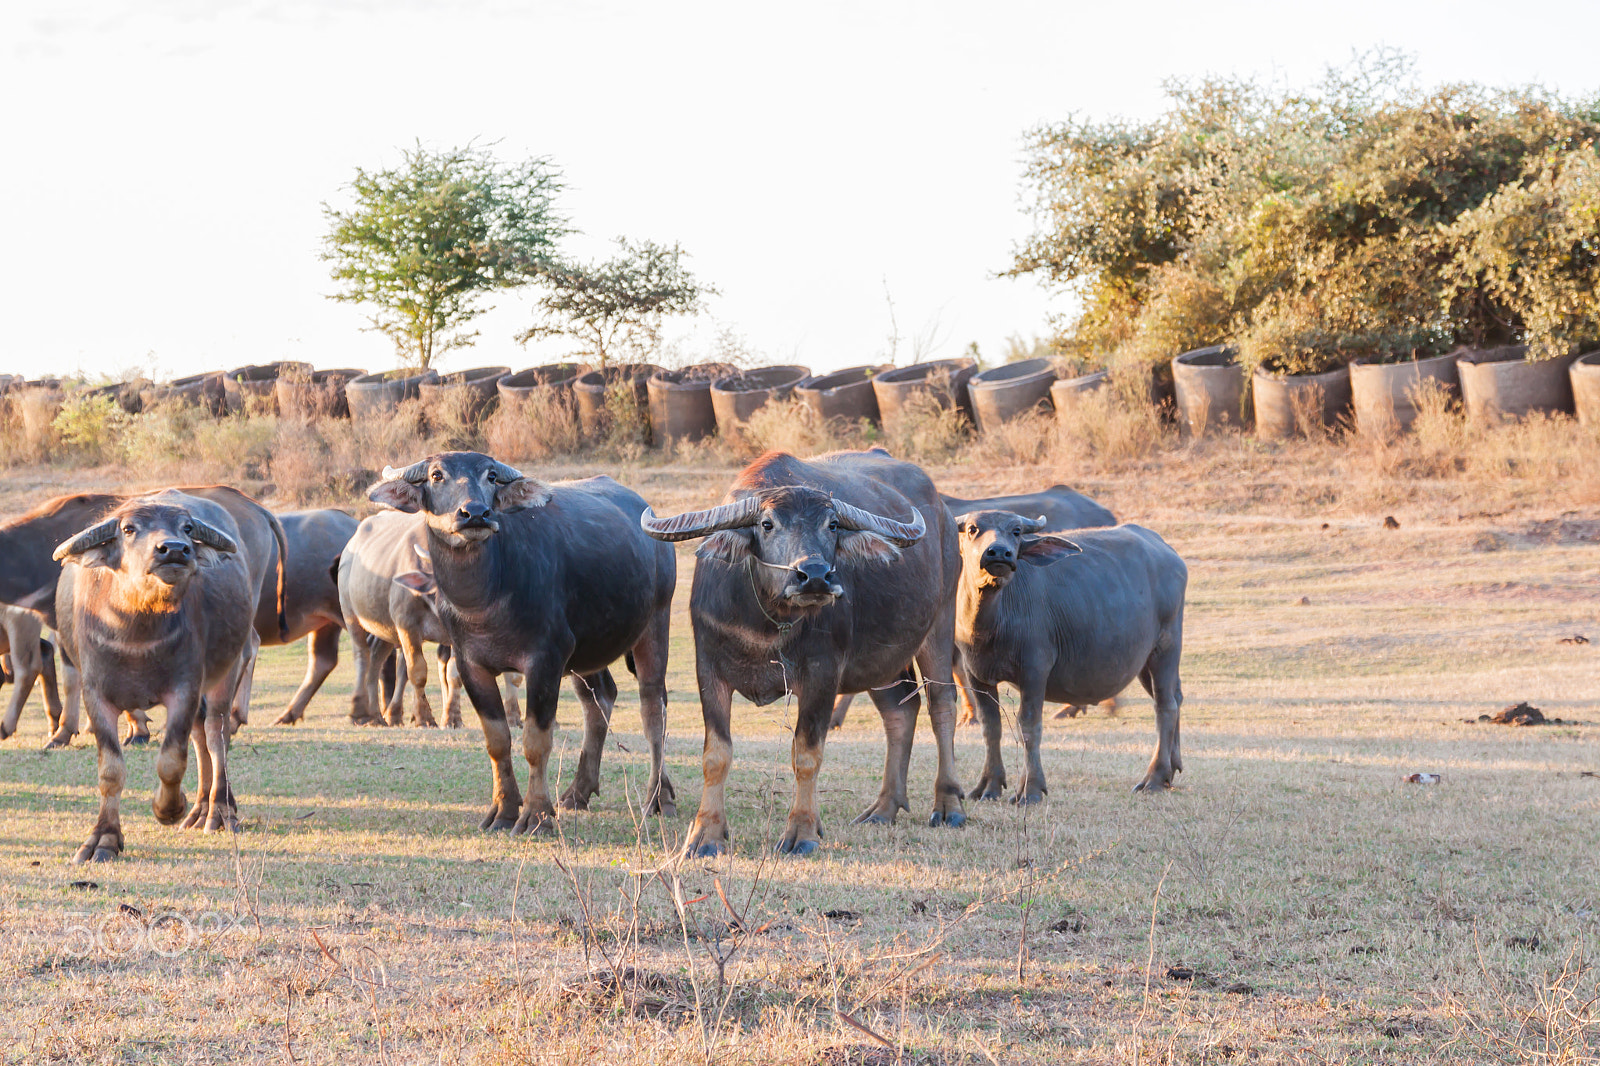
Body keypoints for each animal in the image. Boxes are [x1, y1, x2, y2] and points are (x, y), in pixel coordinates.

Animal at [54, 491, 261, 861]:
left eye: (187, 527)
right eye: (128, 528)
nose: (175, 549)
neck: (136, 632)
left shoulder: (185, 688)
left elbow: (172, 761)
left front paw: (168, 808)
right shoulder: (96, 695)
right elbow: (110, 771)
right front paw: (103, 839)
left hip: (228, 668)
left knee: (216, 733)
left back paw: (219, 811)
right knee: (201, 734)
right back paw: (199, 811)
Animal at [367, 452, 677, 829]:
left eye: (491, 476)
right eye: (436, 475)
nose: (475, 513)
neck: (484, 599)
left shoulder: (546, 660)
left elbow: (535, 741)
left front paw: (537, 814)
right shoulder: (471, 664)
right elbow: (497, 740)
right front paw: (503, 810)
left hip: (655, 624)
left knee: (653, 708)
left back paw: (658, 797)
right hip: (587, 653)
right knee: (600, 700)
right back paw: (578, 792)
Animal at [641, 448, 965, 857]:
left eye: (833, 525)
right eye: (767, 524)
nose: (814, 575)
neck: (765, 624)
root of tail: (945, 515)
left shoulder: (822, 675)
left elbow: (807, 754)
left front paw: (803, 831)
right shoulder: (709, 670)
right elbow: (716, 754)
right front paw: (705, 834)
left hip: (941, 621)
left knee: (942, 706)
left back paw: (949, 805)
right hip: (883, 658)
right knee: (900, 711)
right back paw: (883, 808)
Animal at [951, 510, 1188, 799]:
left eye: (1016, 531)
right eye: (973, 529)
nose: (999, 552)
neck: (993, 621)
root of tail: (1168, 551)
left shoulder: (1034, 670)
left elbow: (1028, 725)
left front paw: (1030, 789)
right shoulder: (976, 674)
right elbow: (990, 726)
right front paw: (989, 786)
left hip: (1165, 648)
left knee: (1165, 706)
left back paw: (1153, 778)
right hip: (1143, 662)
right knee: (1176, 697)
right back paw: (1171, 770)